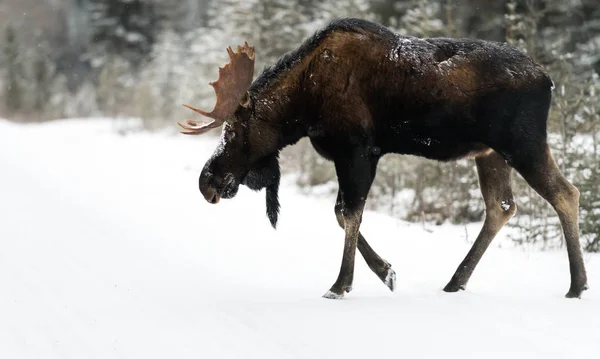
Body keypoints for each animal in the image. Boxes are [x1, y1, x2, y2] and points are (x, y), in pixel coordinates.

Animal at [179, 18, 592, 300]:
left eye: (235, 130)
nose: (206, 182)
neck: (303, 105)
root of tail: (548, 80)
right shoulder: (352, 155)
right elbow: (342, 213)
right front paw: (387, 272)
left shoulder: (358, 150)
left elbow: (349, 214)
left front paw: (341, 284)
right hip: (490, 152)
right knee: (501, 206)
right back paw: (456, 280)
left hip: (522, 142)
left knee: (566, 193)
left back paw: (577, 284)